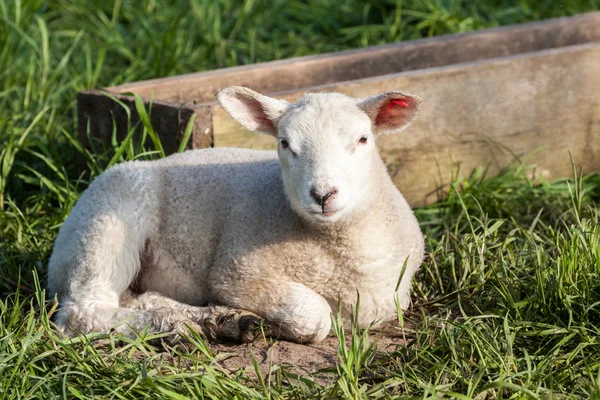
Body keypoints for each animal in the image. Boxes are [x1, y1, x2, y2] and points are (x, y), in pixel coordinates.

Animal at [48, 86, 426, 344]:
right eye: (284, 143)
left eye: (363, 139)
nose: (323, 195)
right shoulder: (235, 273)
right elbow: (313, 316)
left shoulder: (392, 298)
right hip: (106, 225)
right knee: (84, 311)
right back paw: (172, 327)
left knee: (135, 298)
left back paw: (213, 320)